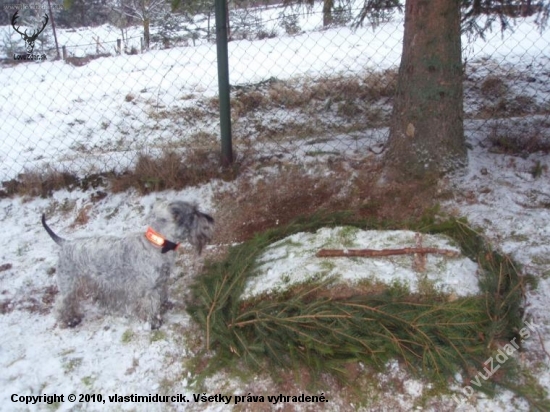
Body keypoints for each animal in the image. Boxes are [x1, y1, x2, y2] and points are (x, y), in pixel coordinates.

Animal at [40, 201, 213, 330]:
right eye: (194, 213)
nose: (210, 219)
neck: (157, 244)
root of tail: (64, 243)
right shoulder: (148, 290)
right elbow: (150, 306)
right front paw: (154, 323)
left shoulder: (161, 282)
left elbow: (162, 296)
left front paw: (166, 306)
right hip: (69, 285)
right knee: (62, 303)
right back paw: (70, 320)